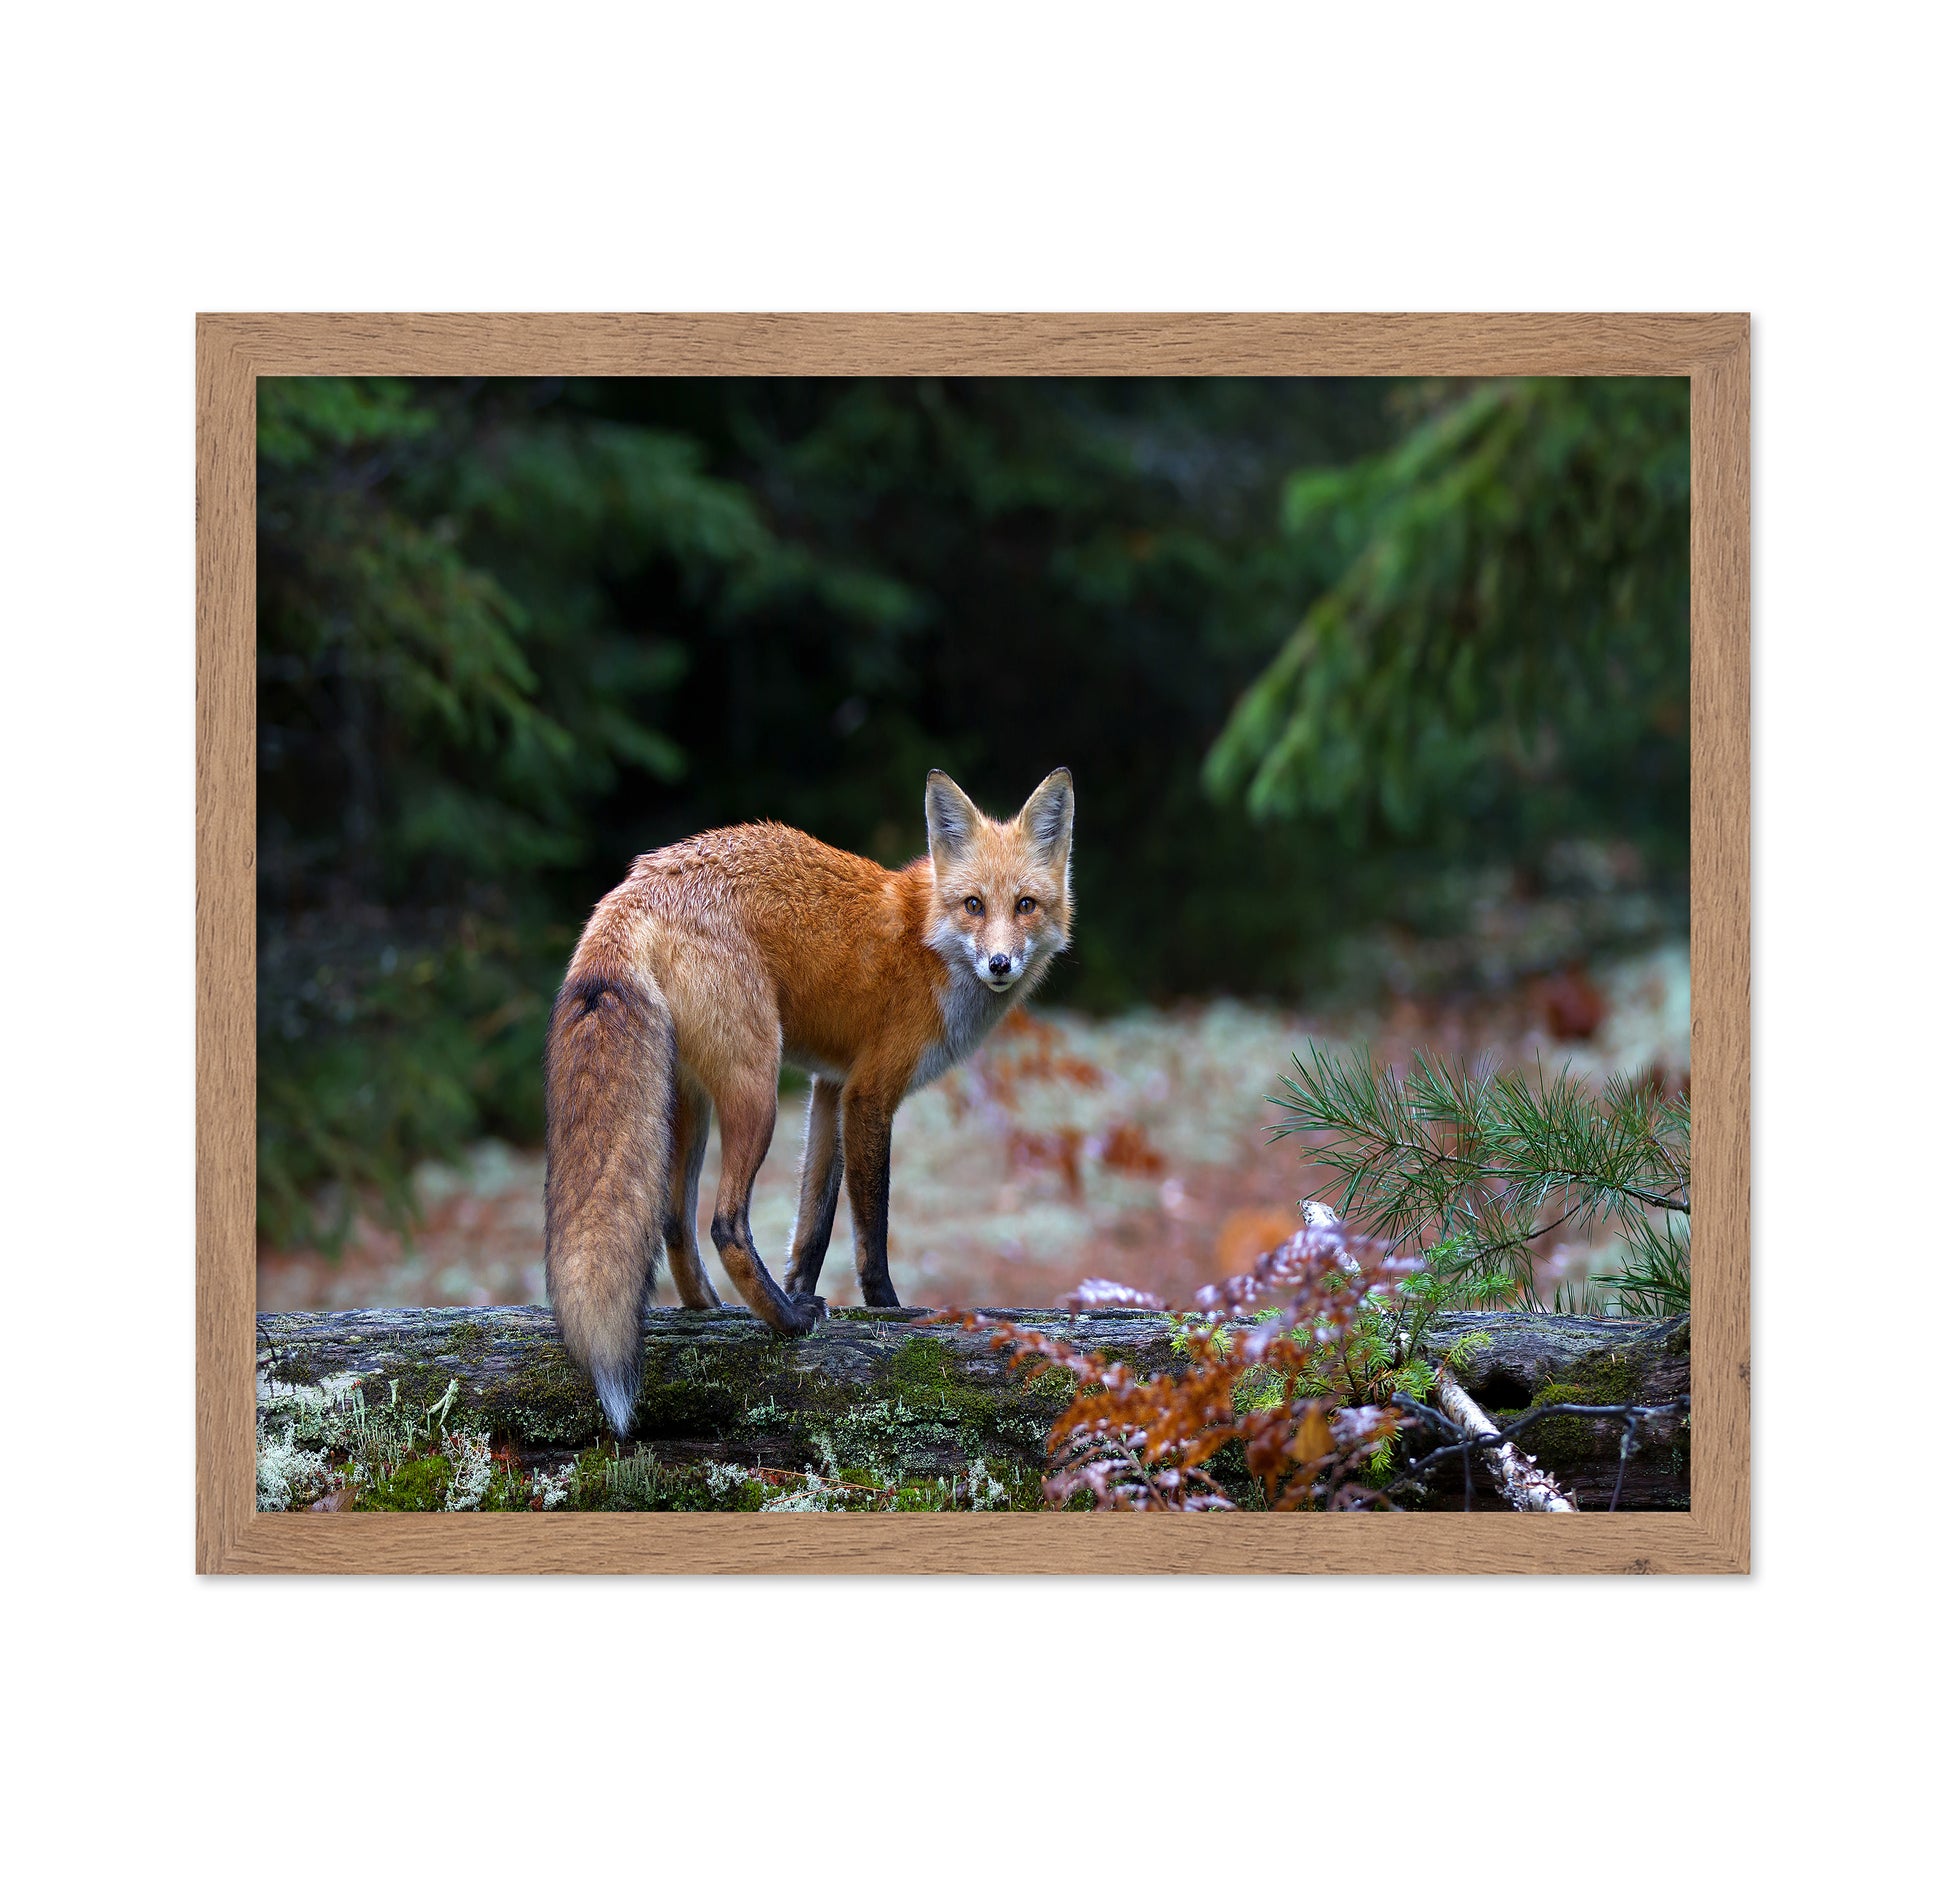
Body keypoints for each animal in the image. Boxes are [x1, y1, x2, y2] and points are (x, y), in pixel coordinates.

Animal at [543, 766, 1075, 1434]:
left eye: (1025, 905)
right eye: (973, 904)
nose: (1000, 963)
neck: (928, 942)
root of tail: (635, 885)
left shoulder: (831, 1089)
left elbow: (813, 1224)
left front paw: (800, 1287)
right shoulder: (869, 1095)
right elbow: (870, 1230)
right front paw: (887, 1311)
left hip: (691, 1102)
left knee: (673, 1221)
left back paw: (715, 1312)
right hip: (756, 1089)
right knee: (724, 1224)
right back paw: (784, 1322)